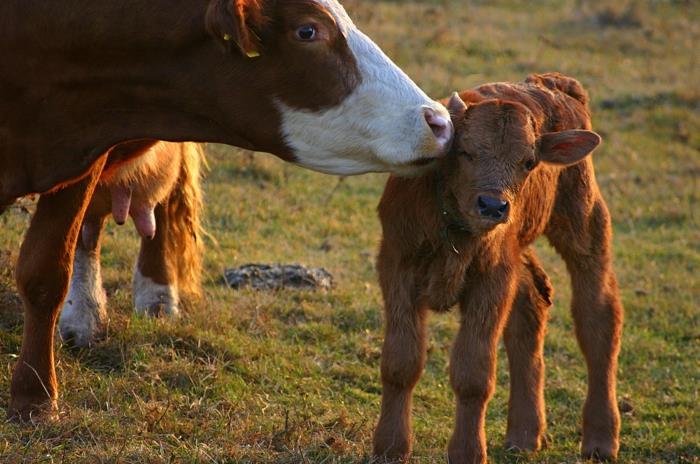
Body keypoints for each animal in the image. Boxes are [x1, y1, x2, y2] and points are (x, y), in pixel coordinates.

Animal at [0, 0, 454, 418]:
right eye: (308, 31)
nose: (439, 121)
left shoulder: (81, 155)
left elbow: (45, 274)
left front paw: (33, 397)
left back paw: (150, 294)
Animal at [372, 74, 624, 462]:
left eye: (528, 162)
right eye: (466, 151)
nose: (493, 205)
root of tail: (556, 86)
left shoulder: (491, 281)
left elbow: (473, 374)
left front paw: (467, 452)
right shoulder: (397, 265)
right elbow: (401, 362)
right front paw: (390, 446)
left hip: (584, 226)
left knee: (597, 318)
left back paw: (600, 439)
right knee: (530, 310)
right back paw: (524, 434)